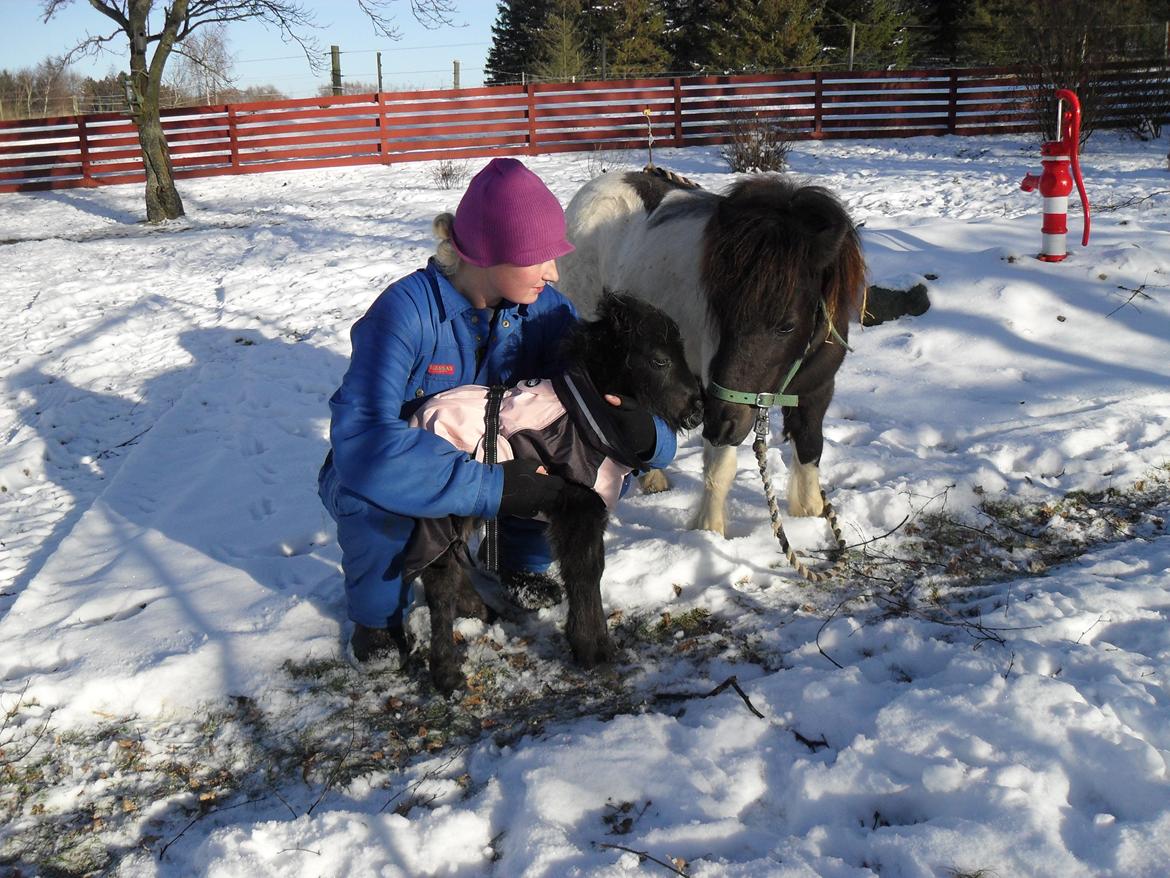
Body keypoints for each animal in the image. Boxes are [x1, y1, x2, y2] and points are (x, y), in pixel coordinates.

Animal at [556, 169, 870, 536]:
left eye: (786, 326)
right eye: (718, 309)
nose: (719, 423)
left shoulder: (816, 393)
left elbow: (809, 452)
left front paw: (809, 520)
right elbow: (719, 469)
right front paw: (709, 532)